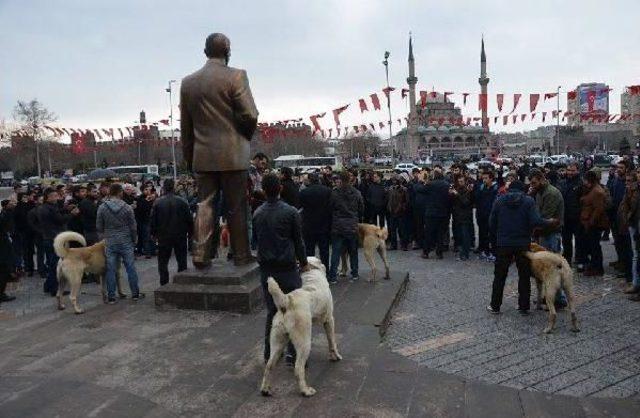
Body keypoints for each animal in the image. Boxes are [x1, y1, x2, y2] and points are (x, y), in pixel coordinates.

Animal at [258, 256, 342, 396]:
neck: (311, 275)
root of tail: (287, 300)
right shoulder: (329, 319)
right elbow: (332, 341)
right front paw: (336, 356)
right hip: (304, 341)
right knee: (298, 368)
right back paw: (305, 390)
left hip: (278, 340)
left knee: (269, 365)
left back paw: (265, 389)